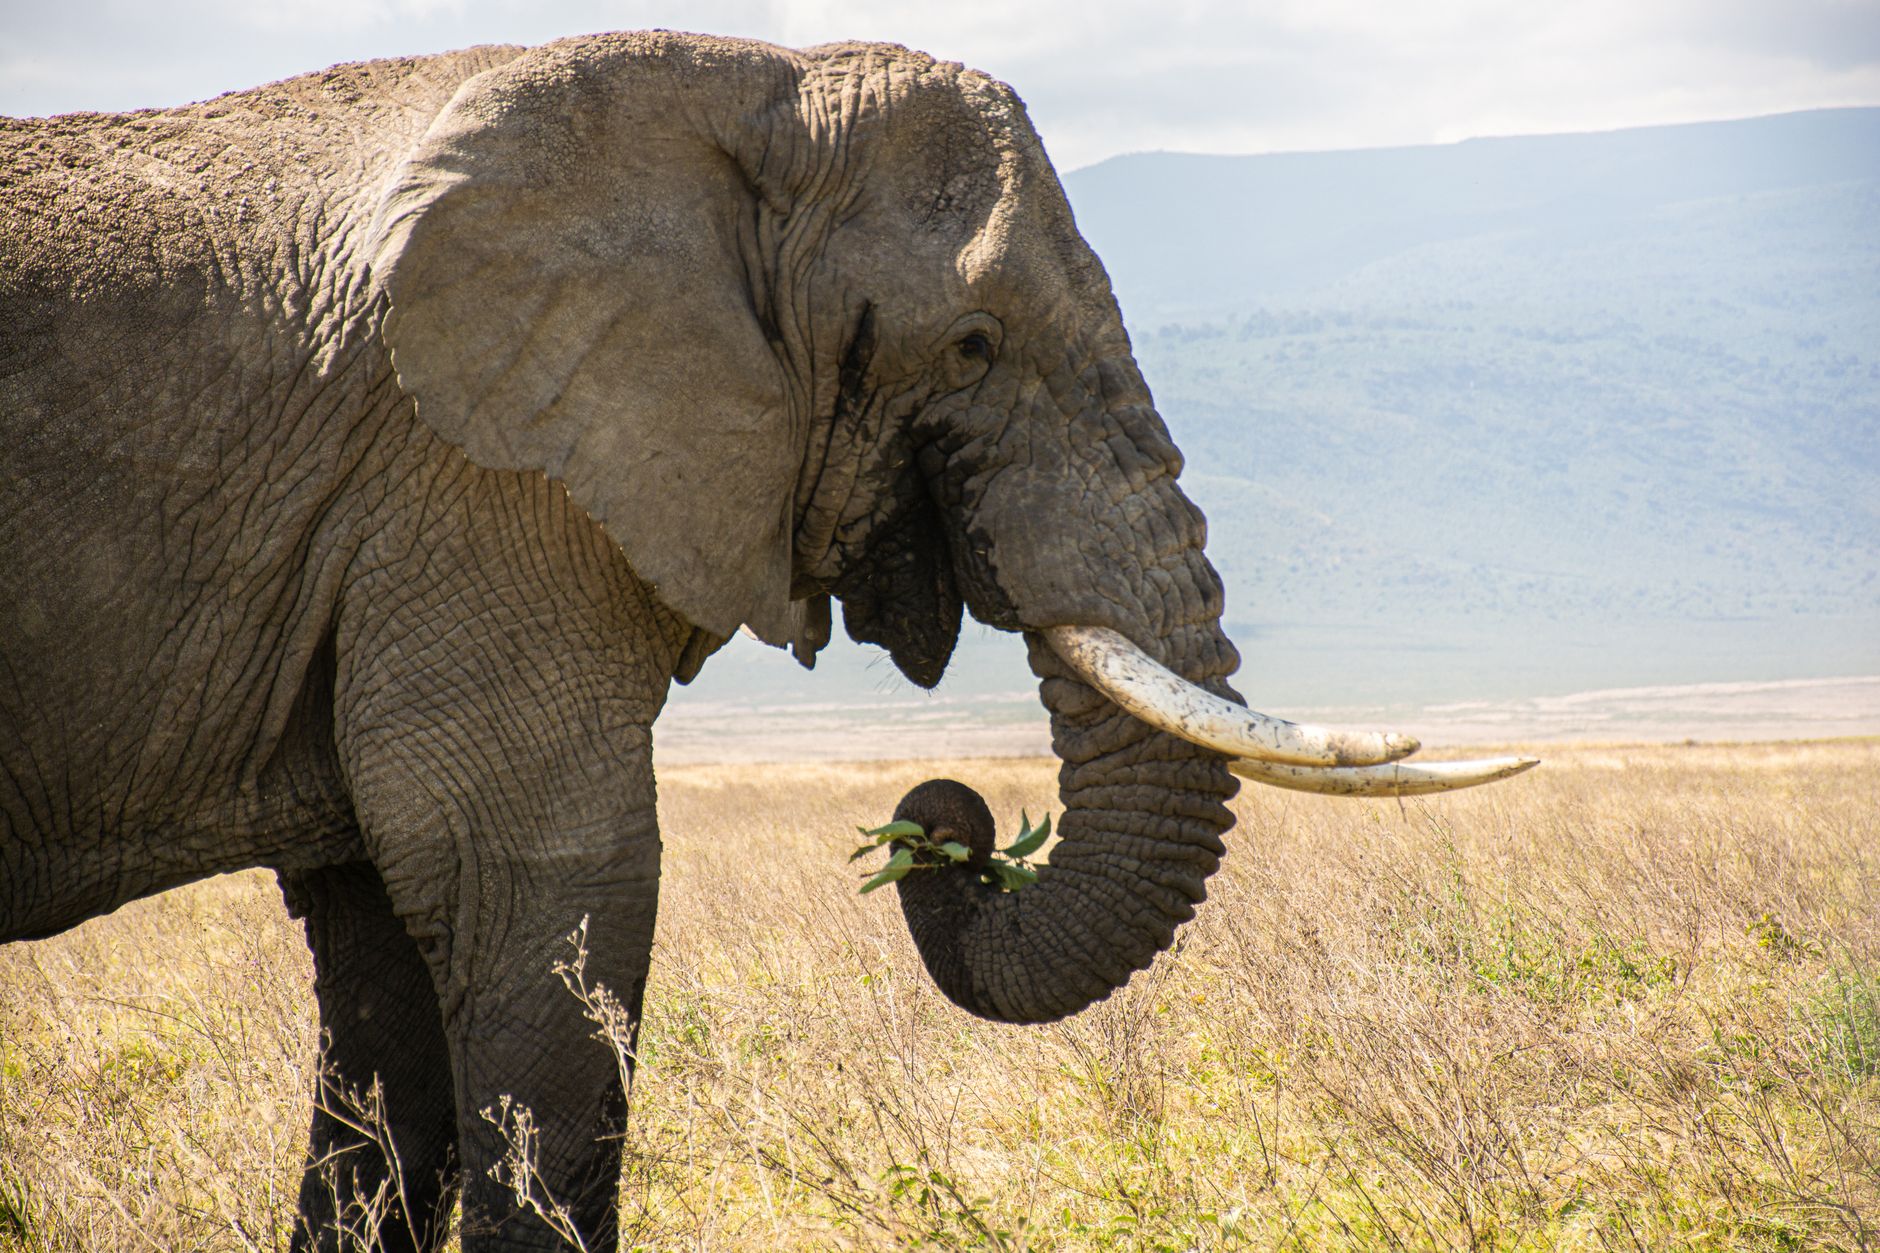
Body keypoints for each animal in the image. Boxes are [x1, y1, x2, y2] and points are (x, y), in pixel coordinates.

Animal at [0, 31, 1533, 1250]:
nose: (947, 824)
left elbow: (387, 958)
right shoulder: (481, 480)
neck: (743, 93)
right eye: (971, 347)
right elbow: (544, 886)